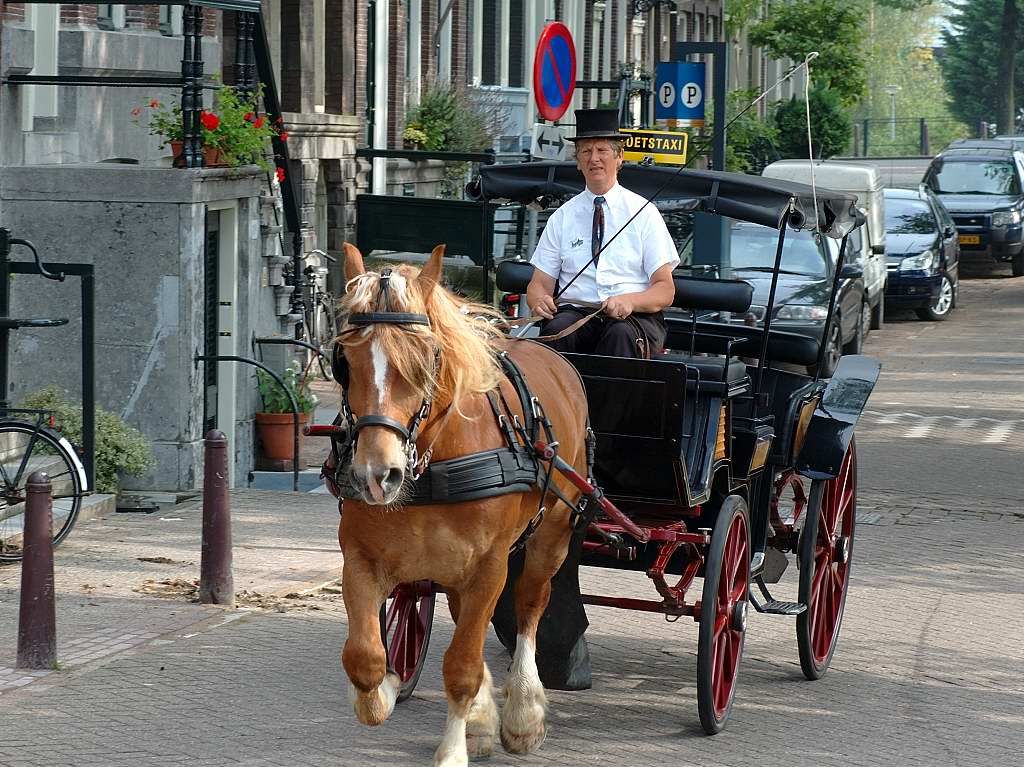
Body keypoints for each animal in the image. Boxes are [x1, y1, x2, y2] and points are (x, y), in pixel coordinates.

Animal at [335, 242, 593, 761]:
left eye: (424, 361)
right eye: (344, 362)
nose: (376, 475)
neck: (433, 465)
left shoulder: (490, 565)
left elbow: (462, 668)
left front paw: (454, 750)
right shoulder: (360, 556)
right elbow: (366, 659)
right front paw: (387, 688)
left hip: (550, 536)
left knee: (530, 605)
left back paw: (523, 712)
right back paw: (481, 719)